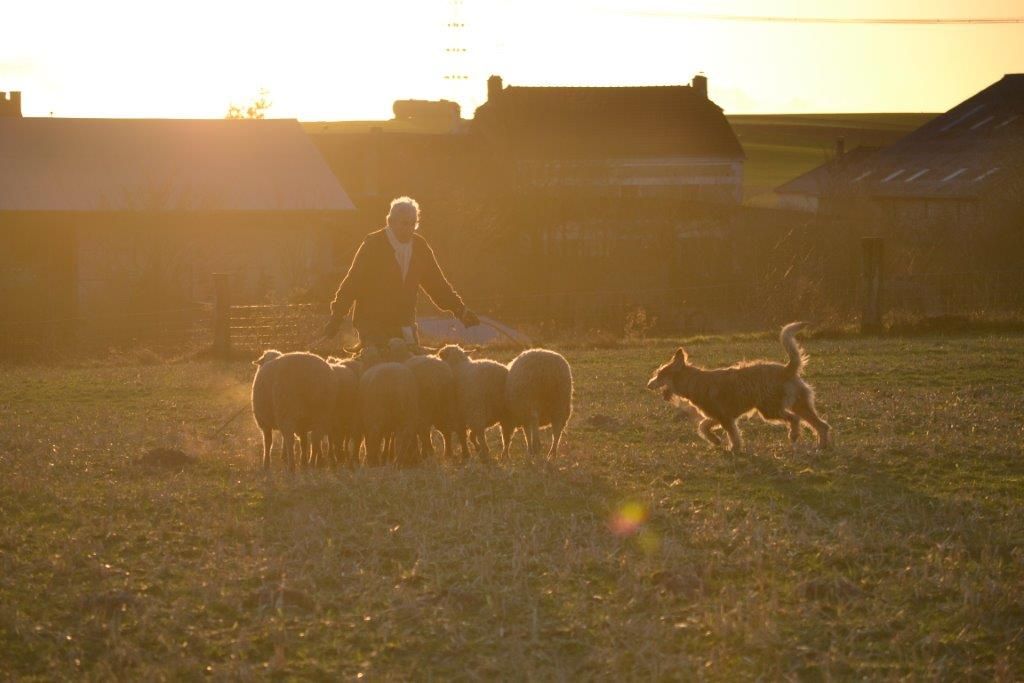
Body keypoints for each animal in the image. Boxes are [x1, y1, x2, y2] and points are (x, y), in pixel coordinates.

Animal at [647, 321, 831, 454]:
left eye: (660, 374)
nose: (648, 384)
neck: (694, 381)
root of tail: (786, 369)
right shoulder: (718, 416)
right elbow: (703, 426)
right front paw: (715, 440)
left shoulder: (725, 418)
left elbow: (733, 435)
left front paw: (734, 449)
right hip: (800, 404)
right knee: (821, 425)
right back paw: (821, 447)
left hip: (769, 409)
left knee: (795, 419)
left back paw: (794, 435)